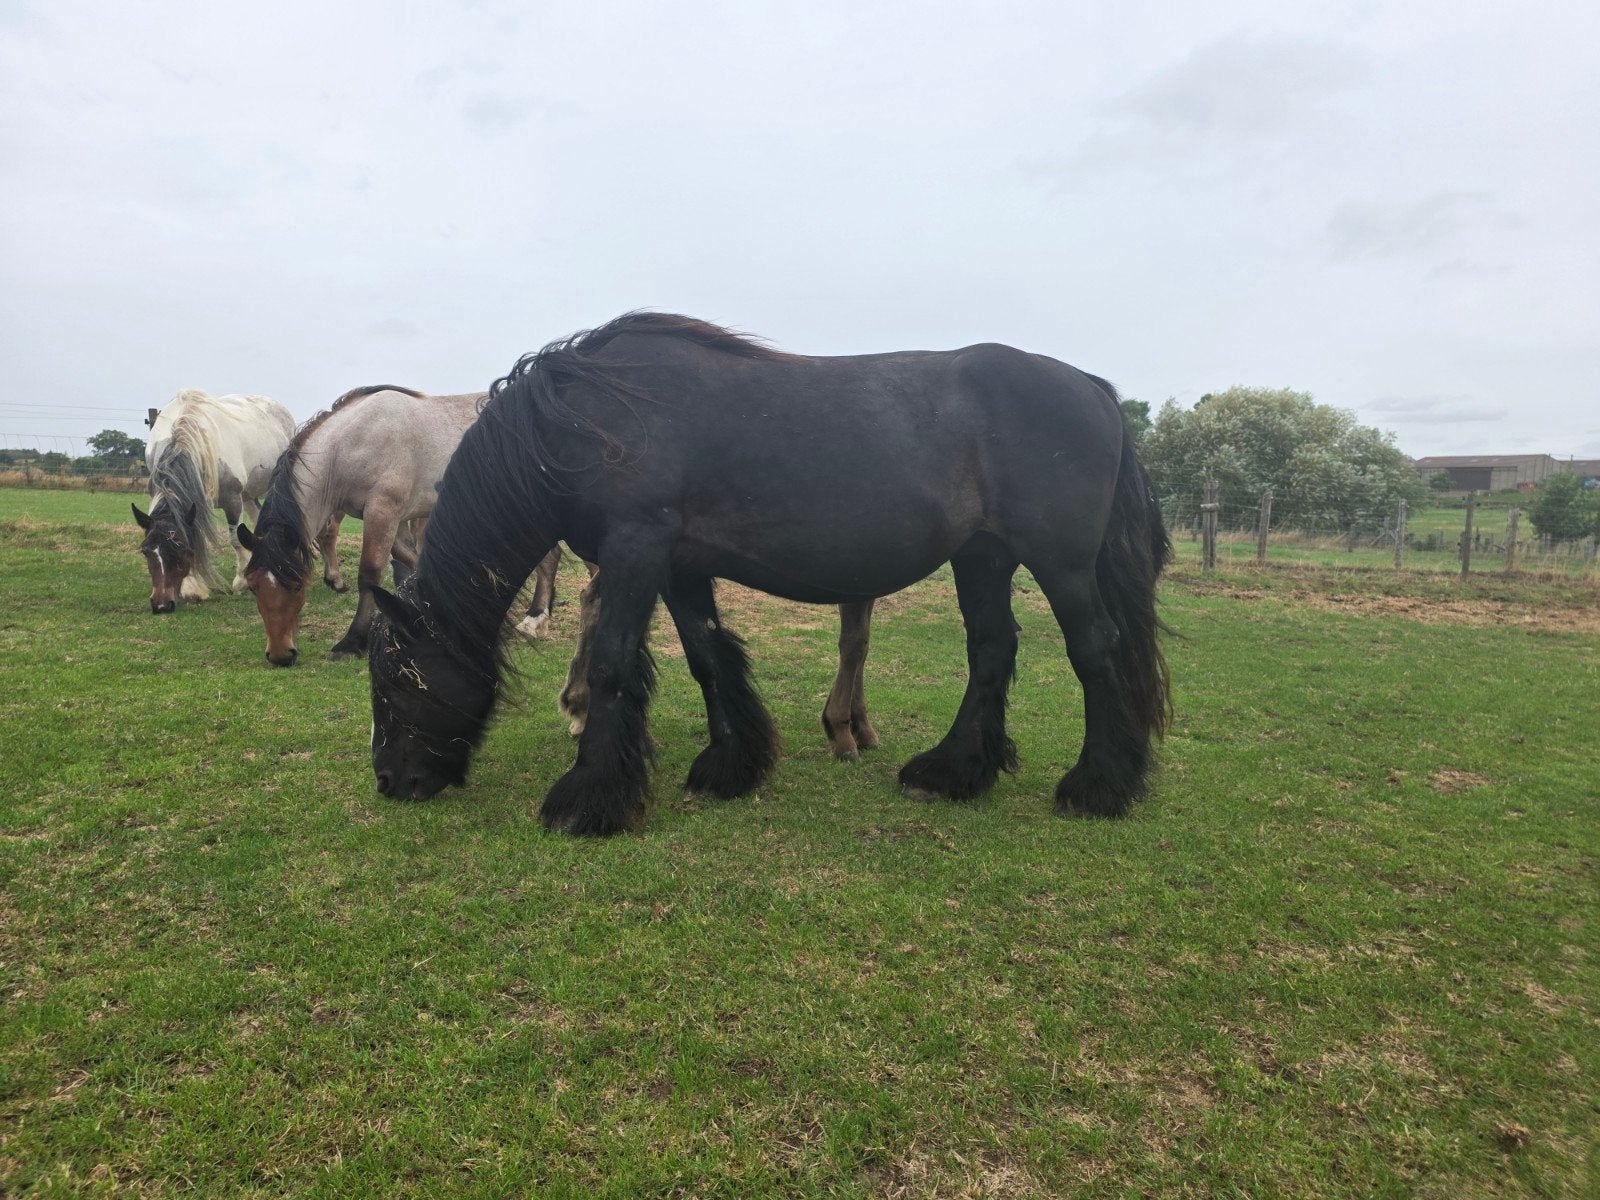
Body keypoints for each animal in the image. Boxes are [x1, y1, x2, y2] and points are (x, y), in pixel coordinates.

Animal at [133, 389, 303, 612]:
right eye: (145, 551)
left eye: (181, 550)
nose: (161, 605)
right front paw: (192, 589)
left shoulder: (232, 500)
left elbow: (235, 540)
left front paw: (240, 583)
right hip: (249, 495)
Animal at [236, 385, 562, 666]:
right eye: (252, 586)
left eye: (297, 584)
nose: (280, 655)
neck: (352, 443)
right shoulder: (389, 518)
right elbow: (411, 561)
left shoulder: (383, 511)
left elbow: (369, 574)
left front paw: (352, 642)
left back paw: (534, 620)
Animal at [368, 313, 1171, 836]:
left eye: (397, 679)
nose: (392, 783)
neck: (583, 422)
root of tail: (1093, 388)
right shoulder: (679, 566)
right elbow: (707, 657)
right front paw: (731, 766)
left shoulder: (635, 549)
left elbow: (611, 665)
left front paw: (588, 798)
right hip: (983, 558)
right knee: (992, 651)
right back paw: (953, 771)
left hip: (1060, 563)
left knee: (1094, 650)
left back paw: (1097, 786)